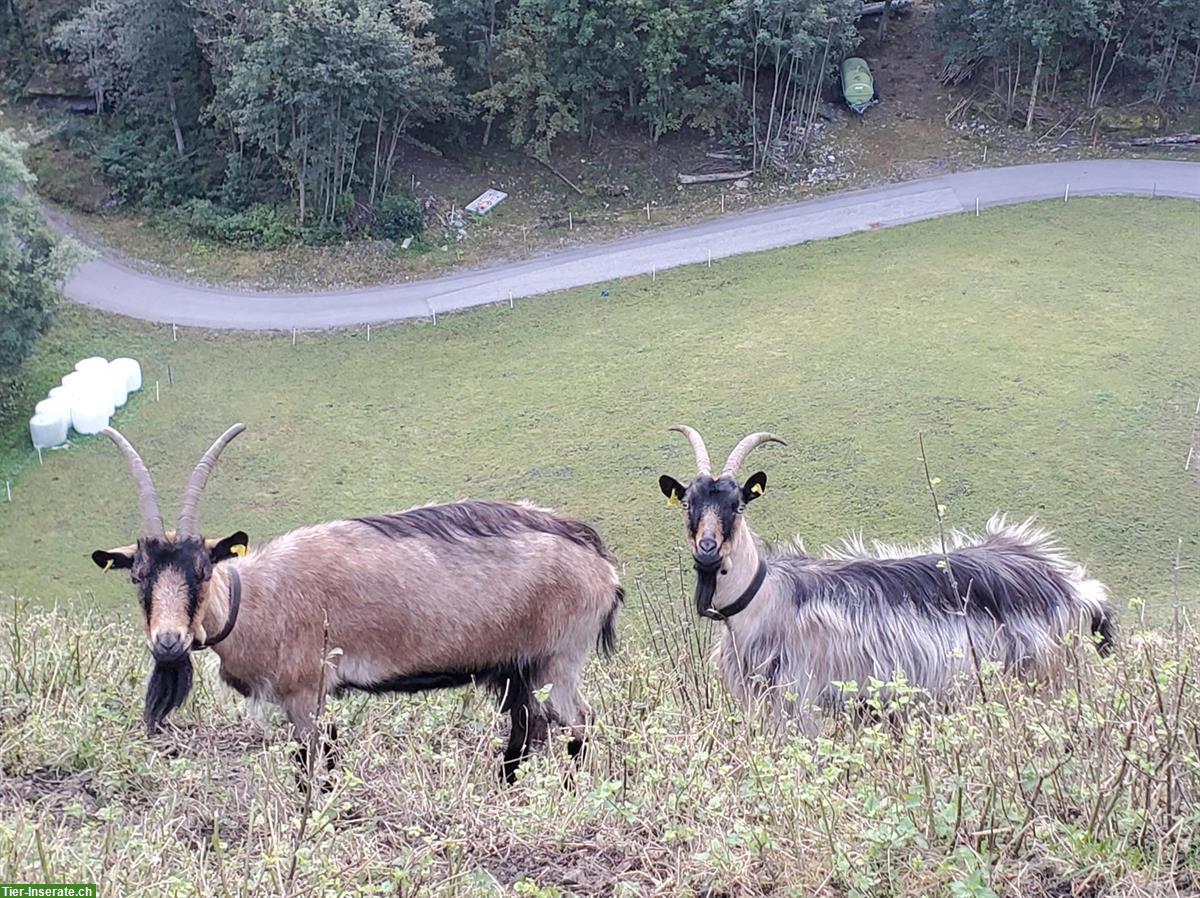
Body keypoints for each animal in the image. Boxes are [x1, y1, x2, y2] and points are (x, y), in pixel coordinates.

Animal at [91, 424, 619, 782]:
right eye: (138, 576)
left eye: (202, 570)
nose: (168, 643)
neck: (258, 598)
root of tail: (601, 562)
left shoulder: (306, 693)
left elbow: (314, 765)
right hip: (516, 668)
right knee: (529, 726)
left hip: (559, 660)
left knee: (578, 722)